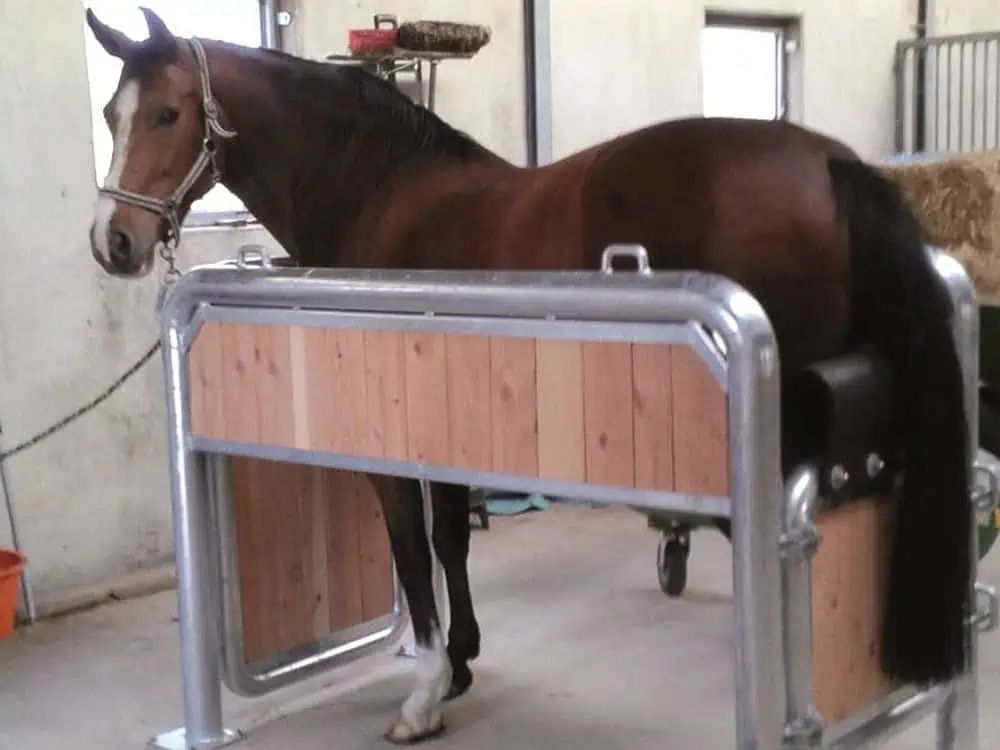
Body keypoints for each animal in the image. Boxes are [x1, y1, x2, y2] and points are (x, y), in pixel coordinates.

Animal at [84, 7, 972, 744]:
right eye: (109, 114)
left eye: (167, 113)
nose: (114, 241)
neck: (377, 189)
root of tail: (827, 163)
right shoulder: (445, 432)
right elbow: (451, 540)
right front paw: (463, 662)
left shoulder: (394, 448)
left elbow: (414, 554)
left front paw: (423, 697)